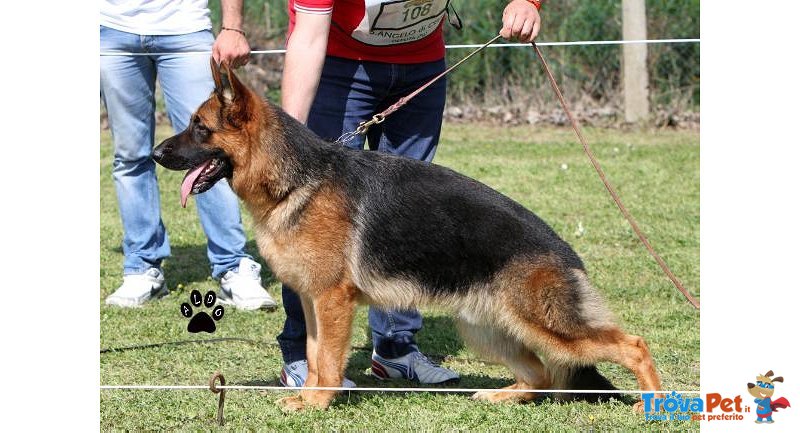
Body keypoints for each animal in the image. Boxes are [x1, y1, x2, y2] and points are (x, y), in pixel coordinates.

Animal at [152, 60, 664, 408]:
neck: (296, 180)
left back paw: (655, 404)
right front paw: (308, 397)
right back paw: (502, 396)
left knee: (634, 346)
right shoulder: (315, 303)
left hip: (548, 325)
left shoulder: (332, 301)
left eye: (199, 128)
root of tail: (567, 253)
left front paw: (317, 404)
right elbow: (315, 357)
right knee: (539, 376)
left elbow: (328, 361)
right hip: (486, 328)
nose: (155, 154)